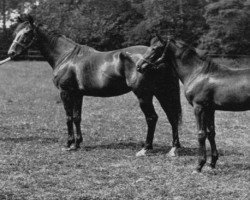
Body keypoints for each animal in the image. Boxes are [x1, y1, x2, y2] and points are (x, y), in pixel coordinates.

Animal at [6, 14, 182, 156]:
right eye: (15, 33)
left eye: (26, 33)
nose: (11, 53)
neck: (66, 56)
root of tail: (158, 57)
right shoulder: (77, 94)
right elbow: (77, 117)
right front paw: (77, 143)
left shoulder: (65, 92)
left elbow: (68, 117)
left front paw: (69, 144)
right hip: (161, 92)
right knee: (172, 117)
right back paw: (174, 148)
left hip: (144, 95)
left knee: (152, 118)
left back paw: (145, 148)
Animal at [137, 37, 250, 172]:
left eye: (155, 48)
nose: (139, 66)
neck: (198, 73)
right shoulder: (210, 109)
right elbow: (211, 133)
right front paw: (212, 163)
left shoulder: (199, 108)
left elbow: (201, 134)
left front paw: (199, 166)